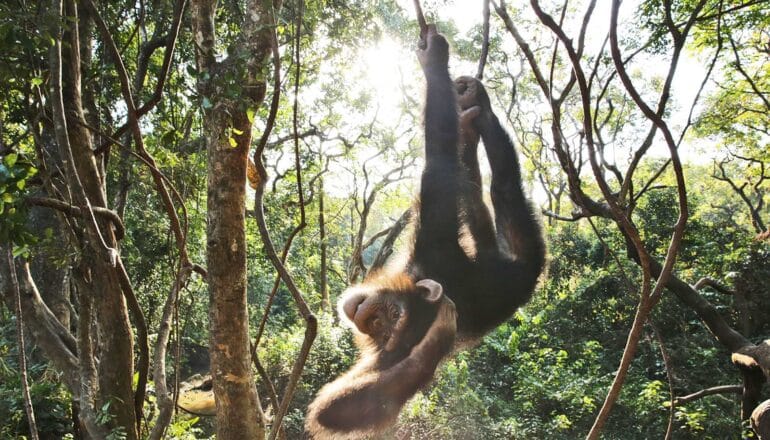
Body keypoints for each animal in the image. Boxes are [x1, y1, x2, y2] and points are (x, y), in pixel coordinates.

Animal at [304, 24, 544, 440]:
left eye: (388, 320)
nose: (368, 317)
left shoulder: (434, 242)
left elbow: (439, 159)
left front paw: (433, 60)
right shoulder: (392, 353)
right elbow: (342, 406)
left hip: (526, 248)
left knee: (506, 188)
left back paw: (484, 116)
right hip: (490, 245)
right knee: (478, 203)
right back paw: (473, 117)